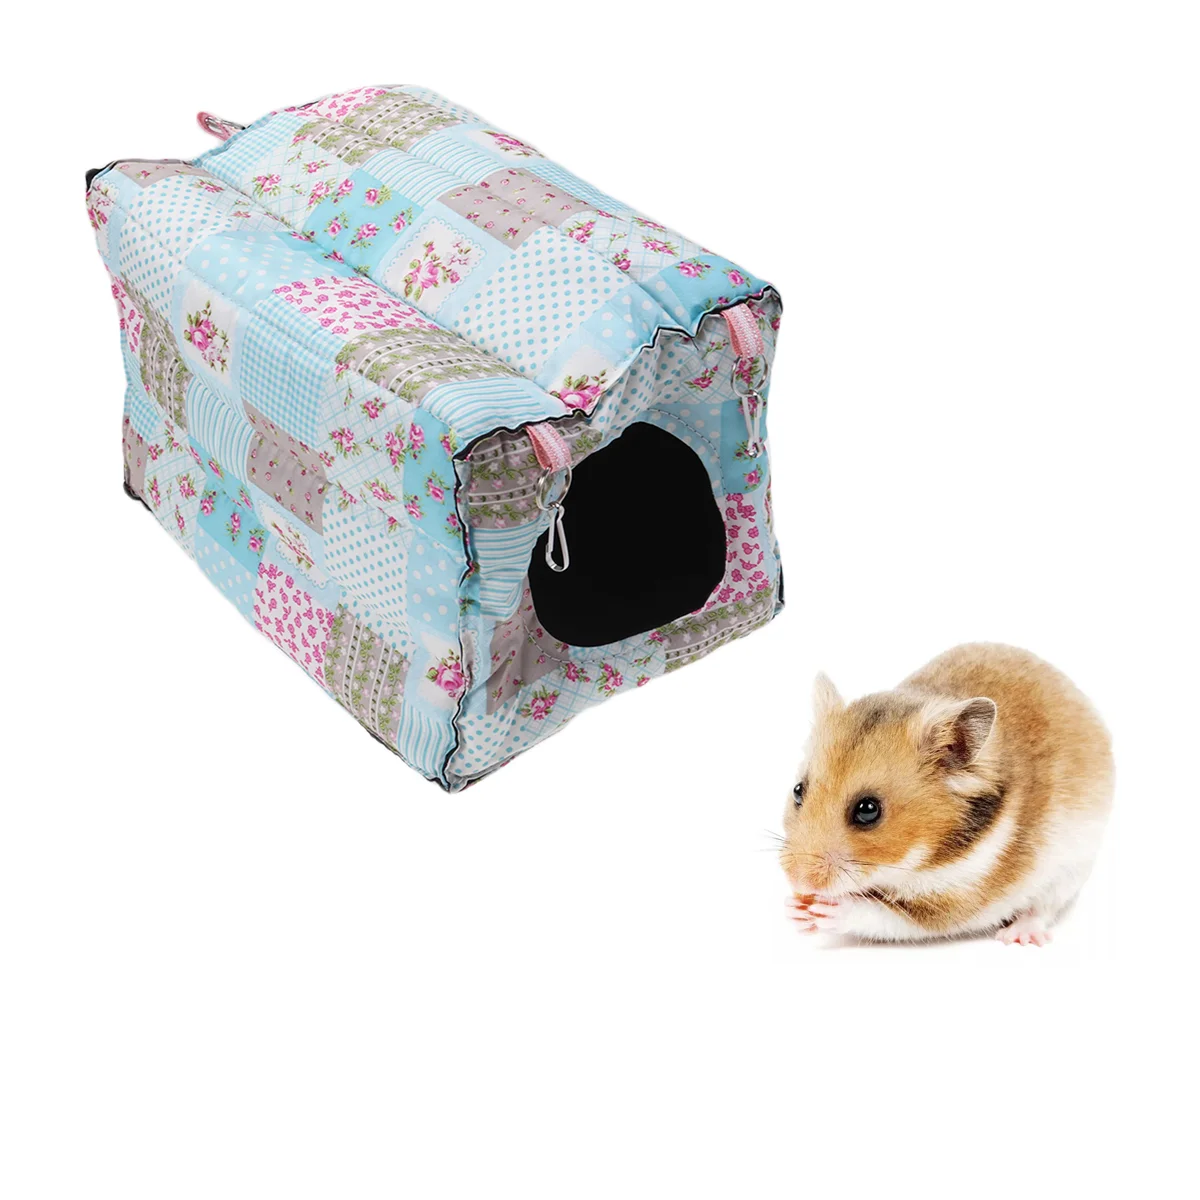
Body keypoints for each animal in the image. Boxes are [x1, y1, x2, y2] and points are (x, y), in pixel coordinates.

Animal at [780, 644, 1113, 945]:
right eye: (798, 791)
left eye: (868, 810)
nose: (799, 879)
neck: (924, 859)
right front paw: (794, 909)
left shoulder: (951, 901)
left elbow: (881, 914)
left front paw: (829, 910)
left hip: (1070, 870)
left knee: (1042, 909)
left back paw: (1017, 936)